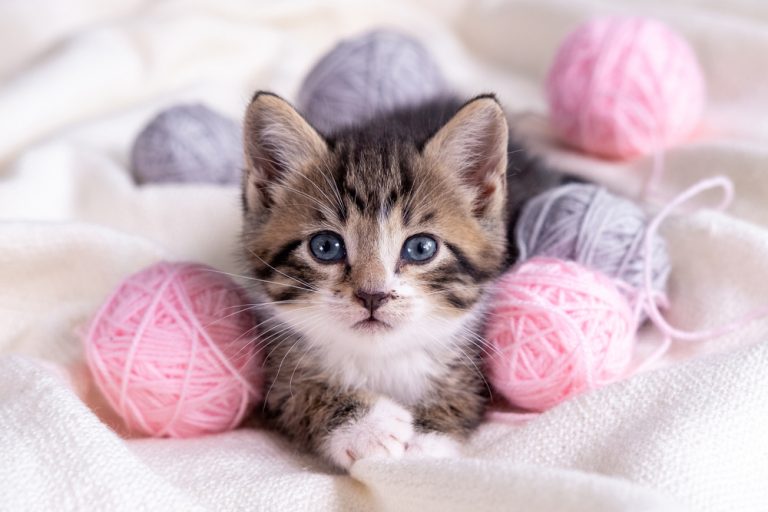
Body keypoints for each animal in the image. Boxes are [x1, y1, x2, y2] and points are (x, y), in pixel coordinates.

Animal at [240, 91, 560, 468]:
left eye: (421, 248)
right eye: (325, 247)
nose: (372, 295)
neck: (381, 357)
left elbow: (463, 394)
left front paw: (423, 441)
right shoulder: (277, 373)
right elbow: (297, 393)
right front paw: (368, 427)